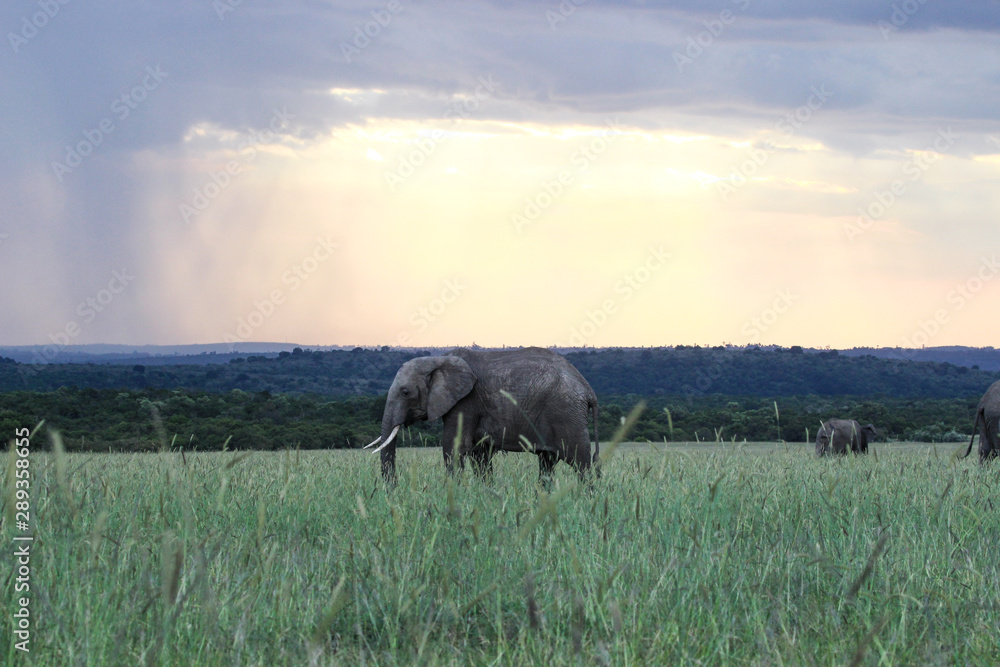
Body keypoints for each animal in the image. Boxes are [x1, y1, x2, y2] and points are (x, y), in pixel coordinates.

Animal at [364, 347, 600, 484]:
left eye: (405, 392)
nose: (393, 489)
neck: (439, 360)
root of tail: (589, 390)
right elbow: (479, 454)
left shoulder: (466, 401)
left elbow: (454, 446)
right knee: (547, 462)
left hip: (567, 413)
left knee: (580, 462)